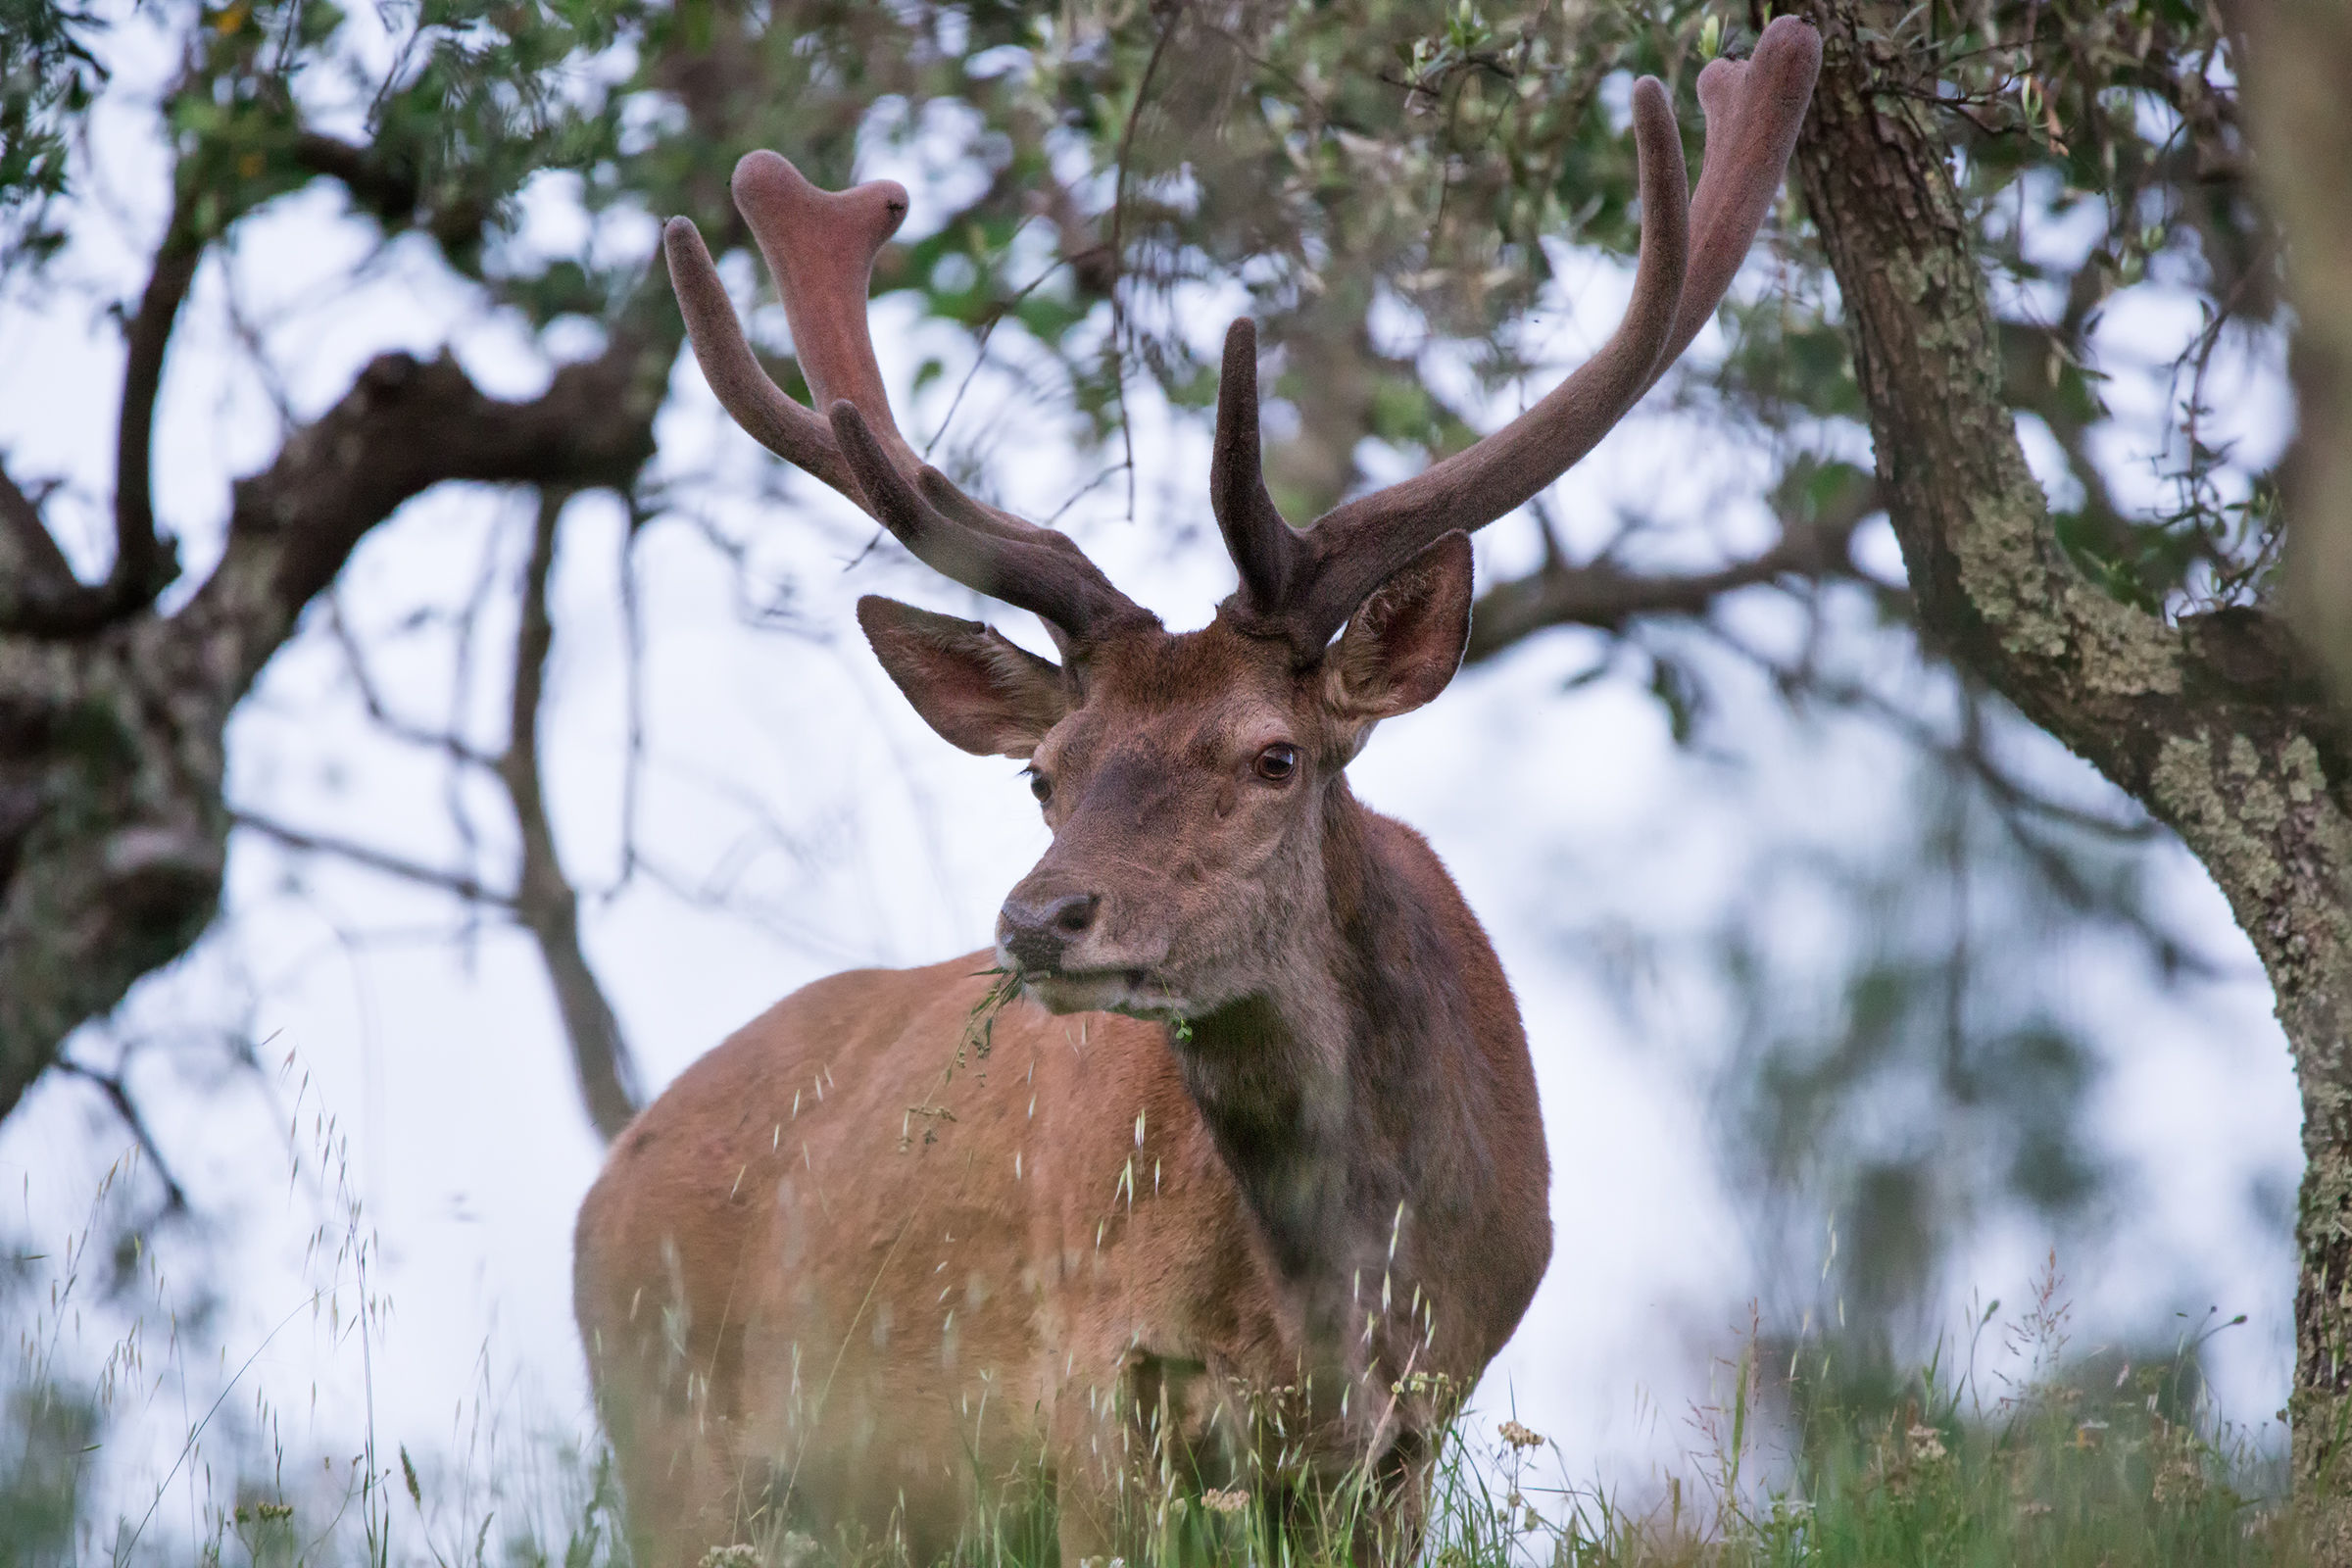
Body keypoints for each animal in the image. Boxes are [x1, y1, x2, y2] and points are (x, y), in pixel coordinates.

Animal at [574, 20, 1820, 1567]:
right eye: (1043, 774)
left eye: (1273, 754)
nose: (1042, 921)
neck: (1329, 1310)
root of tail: (610, 1175)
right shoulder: (1090, 1383)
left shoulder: (1418, 1426)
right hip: (672, 1447)